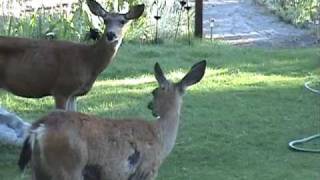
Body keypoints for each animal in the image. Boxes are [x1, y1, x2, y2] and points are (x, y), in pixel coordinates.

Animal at [0, 0, 144, 111]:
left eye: (122, 21)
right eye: (105, 20)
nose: (111, 34)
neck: (88, 61)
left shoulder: (74, 94)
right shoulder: (61, 89)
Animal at [18, 60, 208, 180]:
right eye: (154, 91)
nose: (150, 106)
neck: (161, 135)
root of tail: (39, 128)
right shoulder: (146, 170)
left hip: (39, 170)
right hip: (68, 166)